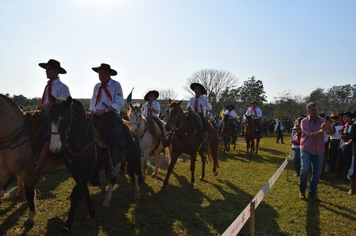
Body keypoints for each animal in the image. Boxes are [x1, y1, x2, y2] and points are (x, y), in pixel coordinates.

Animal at [47, 95, 143, 235]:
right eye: (49, 118)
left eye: (63, 120)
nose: (54, 148)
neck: (83, 139)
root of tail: (132, 131)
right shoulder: (78, 174)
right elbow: (84, 192)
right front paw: (91, 213)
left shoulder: (84, 174)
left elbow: (76, 197)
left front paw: (67, 226)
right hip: (111, 164)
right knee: (113, 178)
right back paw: (106, 202)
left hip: (133, 157)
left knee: (135, 174)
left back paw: (136, 194)